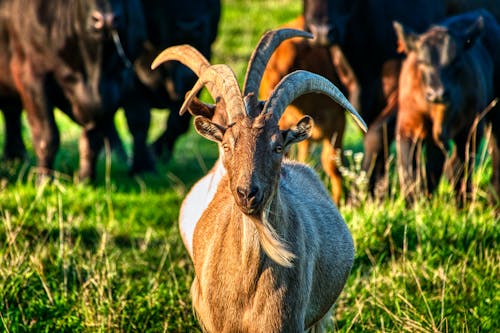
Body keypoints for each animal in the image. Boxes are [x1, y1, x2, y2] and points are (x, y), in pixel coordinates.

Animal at [0, 0, 146, 179]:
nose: (105, 20)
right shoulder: (30, 76)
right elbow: (47, 137)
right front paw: (44, 179)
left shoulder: (118, 83)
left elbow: (93, 139)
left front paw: (85, 178)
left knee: (11, 112)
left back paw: (15, 156)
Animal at [117, 0, 221, 169]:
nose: (189, 27)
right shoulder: (131, 80)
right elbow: (139, 121)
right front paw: (142, 164)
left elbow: (178, 122)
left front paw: (157, 151)